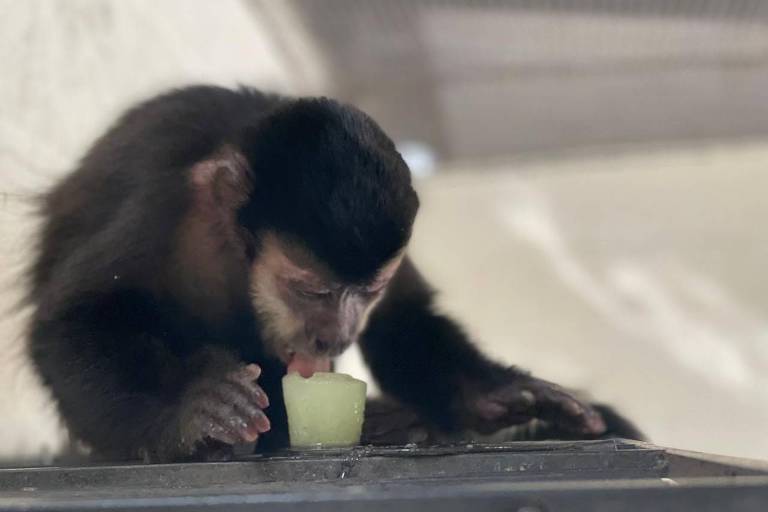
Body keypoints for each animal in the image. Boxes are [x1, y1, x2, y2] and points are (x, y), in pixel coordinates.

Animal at [27, 85, 640, 464]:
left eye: (367, 293)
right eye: (309, 290)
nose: (335, 337)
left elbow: (401, 320)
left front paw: (496, 392)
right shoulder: (166, 207)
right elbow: (68, 326)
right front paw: (191, 405)